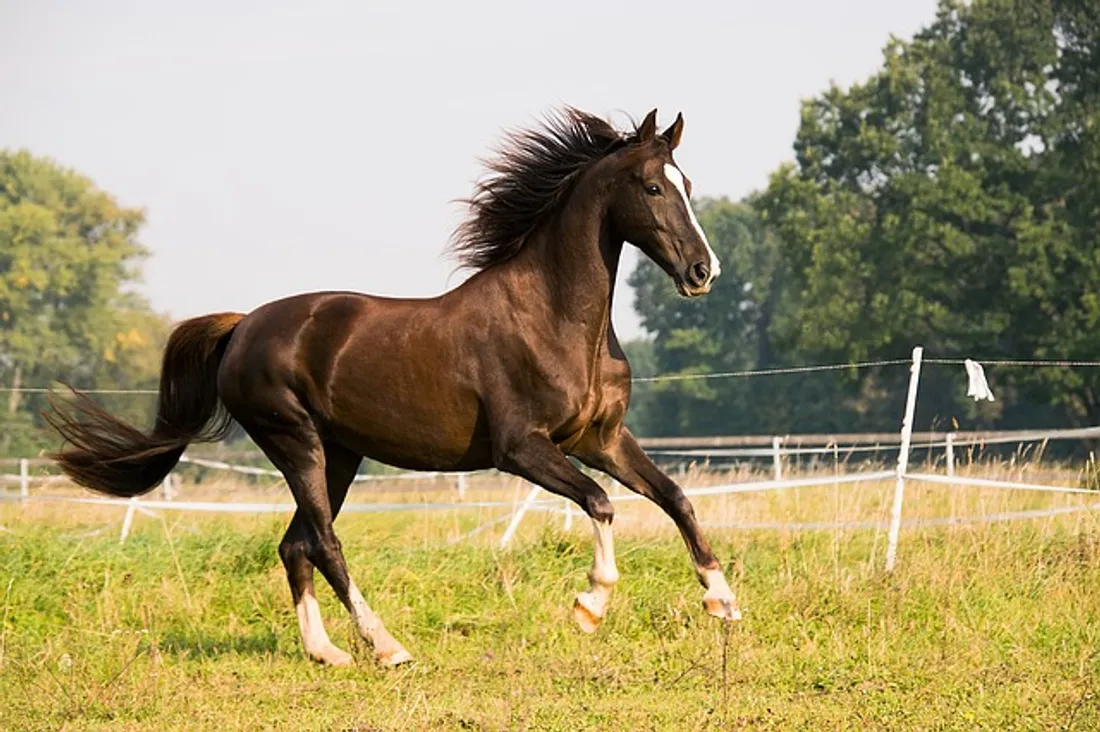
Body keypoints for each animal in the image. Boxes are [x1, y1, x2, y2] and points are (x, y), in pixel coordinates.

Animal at [43, 107, 741, 667]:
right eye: (653, 186)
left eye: (688, 185)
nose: (702, 272)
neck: (554, 319)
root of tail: (242, 326)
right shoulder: (522, 449)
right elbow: (600, 503)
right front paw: (589, 605)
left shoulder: (601, 439)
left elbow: (675, 497)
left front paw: (723, 600)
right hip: (295, 442)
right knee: (323, 543)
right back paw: (387, 647)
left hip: (339, 455)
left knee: (295, 544)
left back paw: (326, 653)